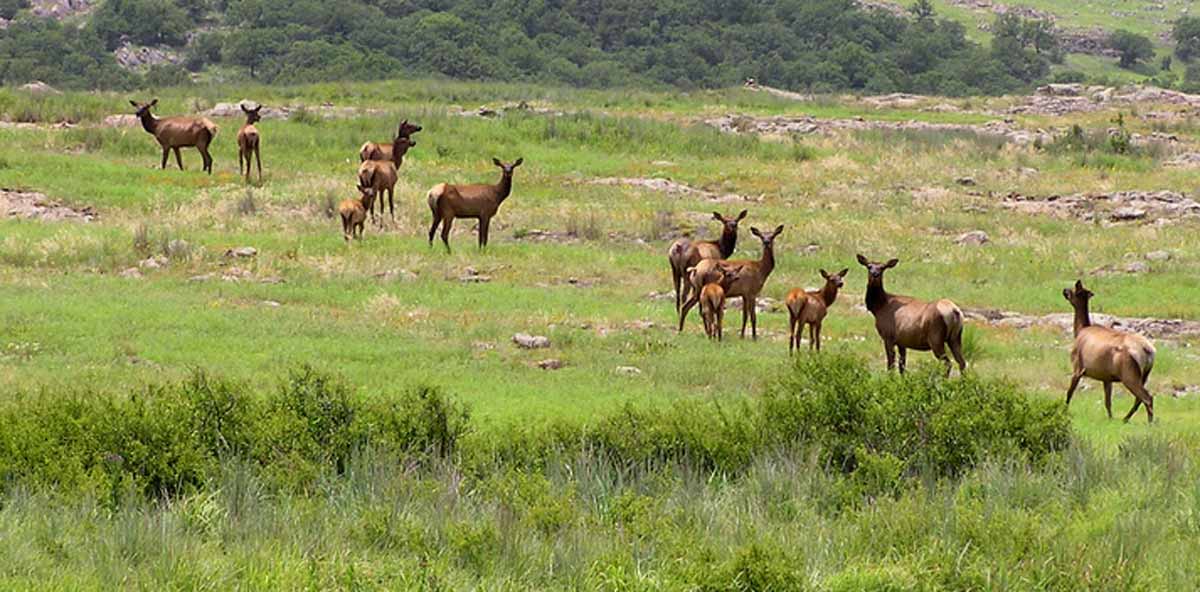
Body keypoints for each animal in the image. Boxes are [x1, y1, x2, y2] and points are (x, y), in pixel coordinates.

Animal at [1062, 280, 1157, 423]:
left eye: (1072, 290)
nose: (1064, 290)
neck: (1079, 330)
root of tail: (1149, 351)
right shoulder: (1107, 377)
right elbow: (1108, 402)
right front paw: (1110, 418)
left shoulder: (1077, 367)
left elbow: (1069, 393)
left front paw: (1064, 412)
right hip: (1144, 375)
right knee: (1139, 399)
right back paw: (1125, 419)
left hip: (1129, 374)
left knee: (1147, 397)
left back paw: (1149, 423)